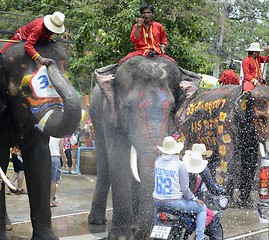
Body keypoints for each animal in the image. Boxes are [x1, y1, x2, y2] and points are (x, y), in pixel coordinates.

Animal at [88, 55, 201, 239]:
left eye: (171, 108)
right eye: (127, 106)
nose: (143, 234)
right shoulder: (110, 115)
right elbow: (119, 158)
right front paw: (121, 235)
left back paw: (133, 223)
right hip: (95, 118)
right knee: (104, 165)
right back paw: (97, 221)